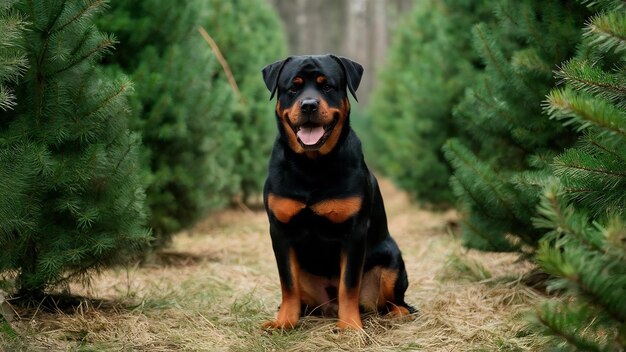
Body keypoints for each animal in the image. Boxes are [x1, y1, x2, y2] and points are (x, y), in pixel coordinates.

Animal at [260, 55, 412, 330]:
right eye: (293, 88)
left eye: (327, 86)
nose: (309, 105)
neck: (312, 166)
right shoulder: (280, 230)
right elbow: (287, 283)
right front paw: (284, 322)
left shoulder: (354, 232)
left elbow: (348, 285)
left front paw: (350, 327)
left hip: (391, 260)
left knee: (398, 303)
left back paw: (394, 314)